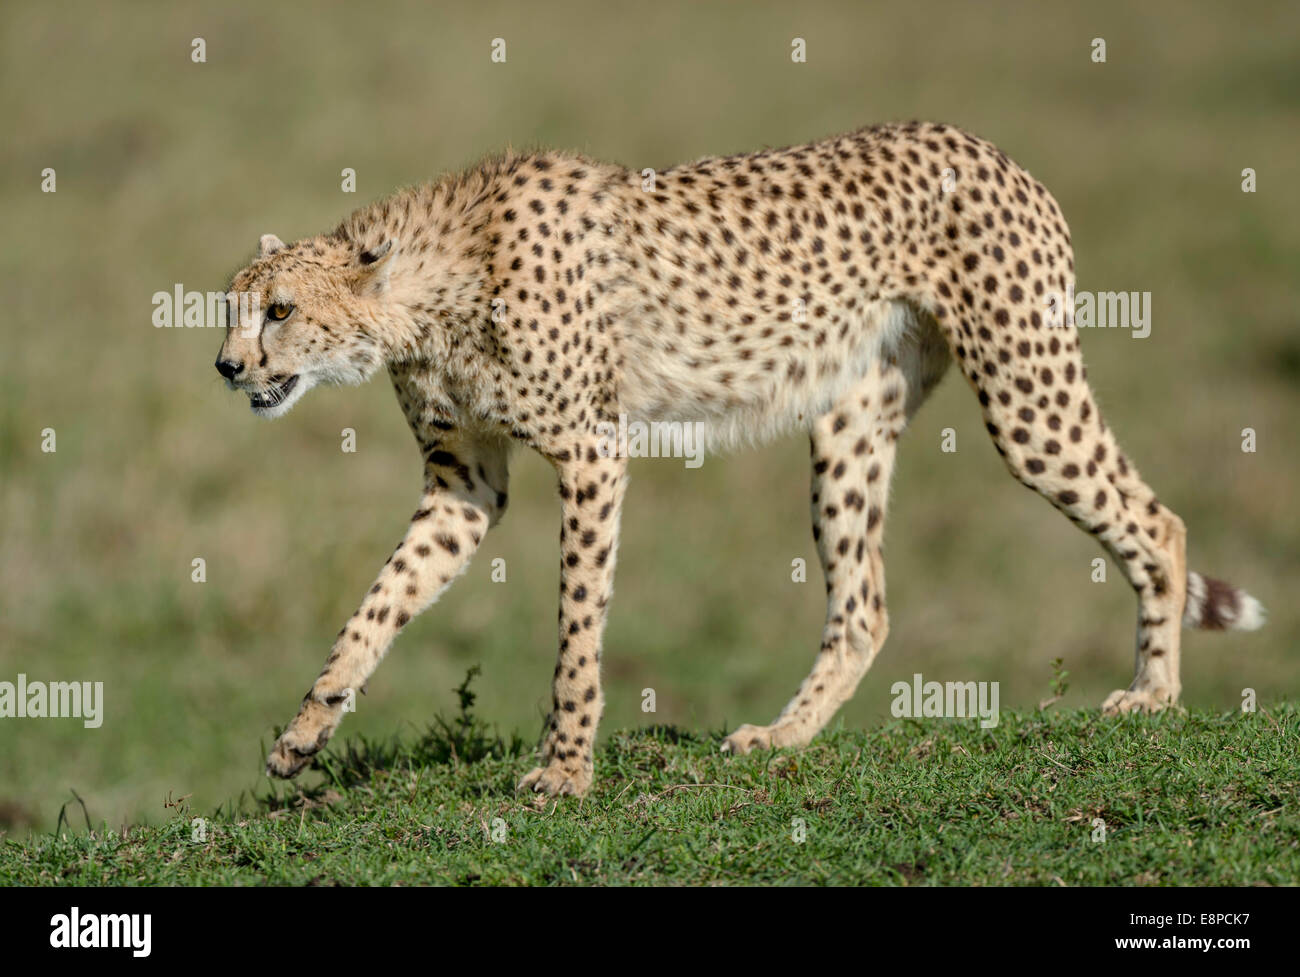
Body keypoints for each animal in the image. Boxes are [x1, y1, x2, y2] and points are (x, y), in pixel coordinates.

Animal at [218, 122, 1263, 795]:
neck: (428, 291)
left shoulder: (593, 452)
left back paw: (1154, 695)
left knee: (1156, 518)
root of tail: (987, 147)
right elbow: (379, 601)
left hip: (1023, 390)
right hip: (848, 420)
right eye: (233, 305)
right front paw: (305, 731)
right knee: (865, 604)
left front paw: (566, 767)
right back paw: (783, 736)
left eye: (279, 309)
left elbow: (576, 623)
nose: (227, 366)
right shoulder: (464, 482)